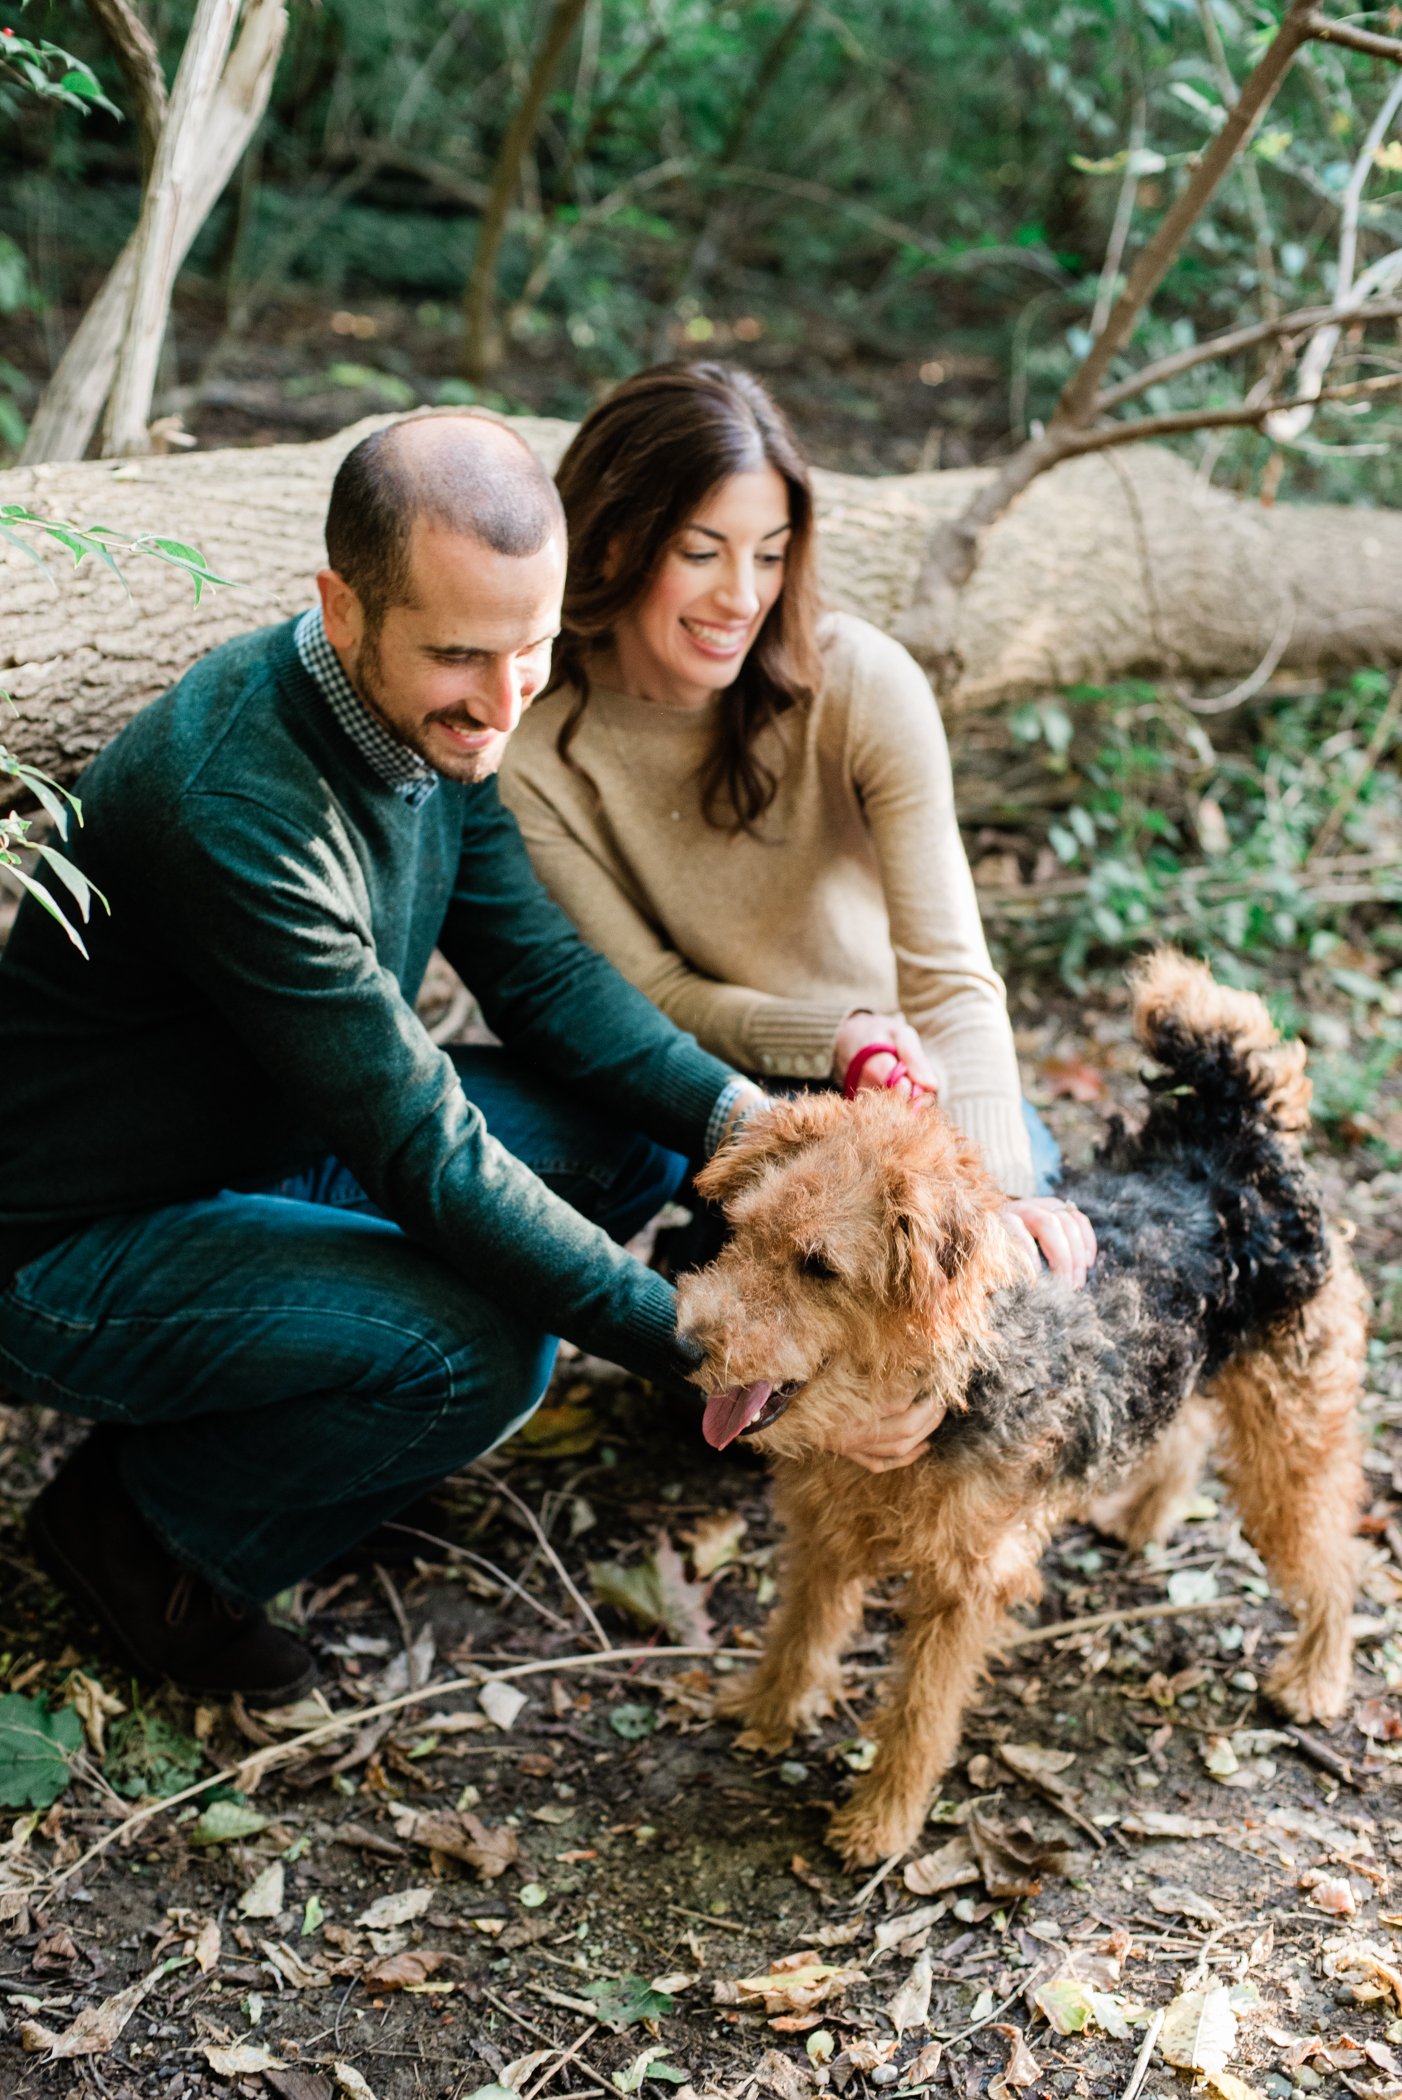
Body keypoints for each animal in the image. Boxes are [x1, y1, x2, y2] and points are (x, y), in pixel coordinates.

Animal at [680, 957, 1368, 1873]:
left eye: (819, 1265)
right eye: (742, 1230)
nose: (683, 1344)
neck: (948, 1379)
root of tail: (1232, 1132)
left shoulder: (966, 1584)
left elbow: (921, 1711)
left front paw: (881, 1821)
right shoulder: (823, 1530)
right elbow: (798, 1632)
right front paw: (764, 1712)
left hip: (1292, 1425)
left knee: (1334, 1554)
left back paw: (1316, 1676)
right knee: (1181, 1427)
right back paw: (1140, 1515)